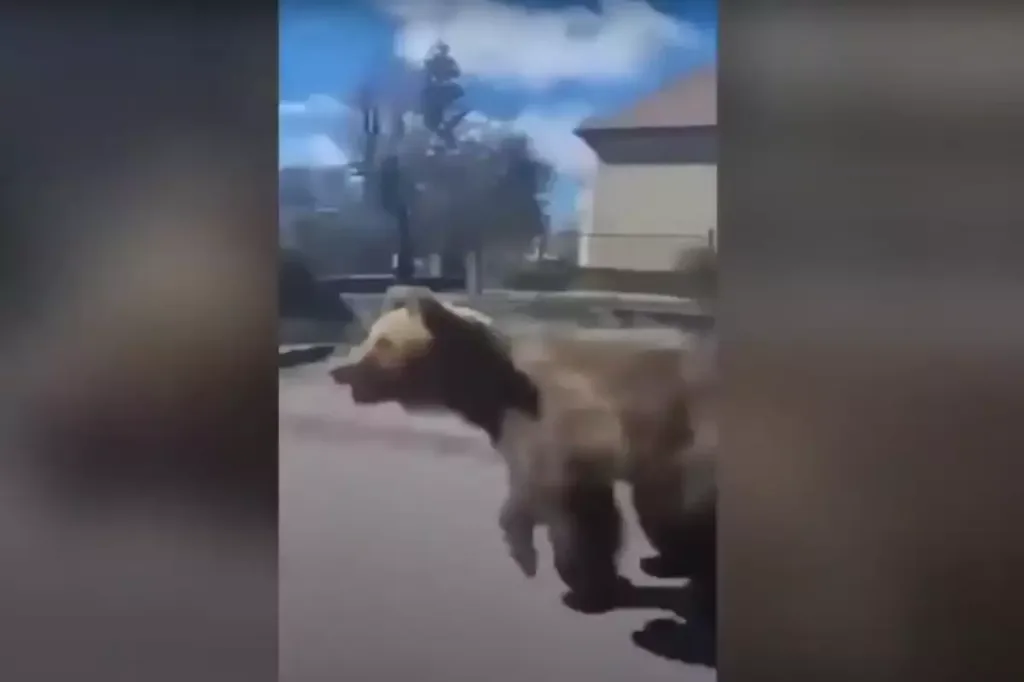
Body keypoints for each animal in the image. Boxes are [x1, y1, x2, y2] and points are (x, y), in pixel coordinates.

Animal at [329, 292, 716, 612]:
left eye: (382, 342)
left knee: (678, 506)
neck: (489, 390)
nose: (339, 370)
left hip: (691, 436)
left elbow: (564, 498)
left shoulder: (555, 414)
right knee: (661, 506)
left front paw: (576, 584)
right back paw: (668, 563)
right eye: (370, 336)